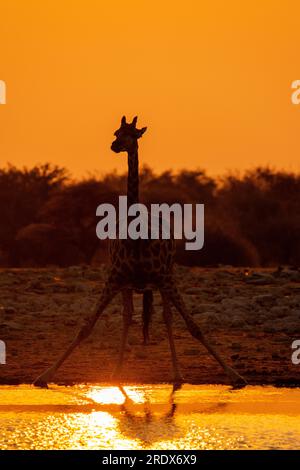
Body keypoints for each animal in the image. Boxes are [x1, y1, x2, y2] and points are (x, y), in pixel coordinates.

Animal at [34, 115, 247, 388]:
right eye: (116, 132)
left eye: (134, 134)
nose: (115, 145)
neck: (136, 238)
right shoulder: (114, 279)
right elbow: (86, 327)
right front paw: (44, 376)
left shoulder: (164, 279)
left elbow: (194, 326)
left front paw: (235, 375)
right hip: (130, 285)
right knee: (129, 316)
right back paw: (116, 373)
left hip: (165, 279)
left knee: (167, 317)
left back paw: (177, 374)